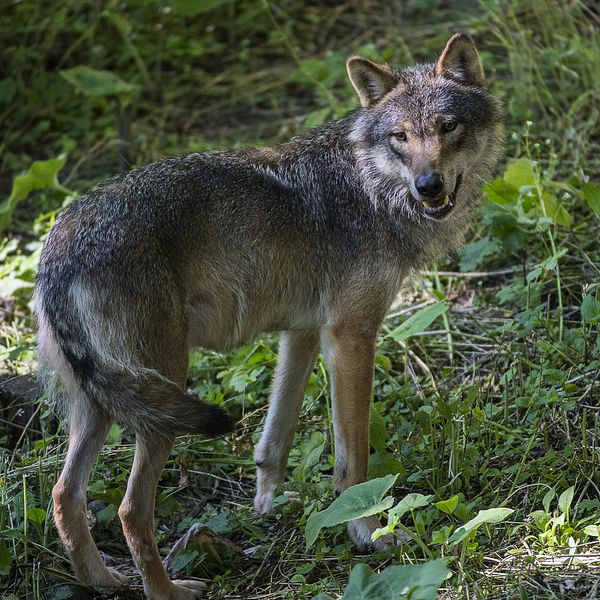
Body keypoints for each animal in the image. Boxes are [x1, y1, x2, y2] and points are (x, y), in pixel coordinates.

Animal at [35, 35, 504, 596]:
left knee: (65, 495)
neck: (371, 187)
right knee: (129, 509)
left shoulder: (303, 333)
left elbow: (274, 440)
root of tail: (59, 246)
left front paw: (269, 507)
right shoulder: (350, 336)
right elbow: (353, 462)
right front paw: (368, 532)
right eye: (401, 137)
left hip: (105, 401)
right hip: (162, 391)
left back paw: (104, 581)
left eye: (447, 126)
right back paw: (169, 590)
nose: (428, 185)